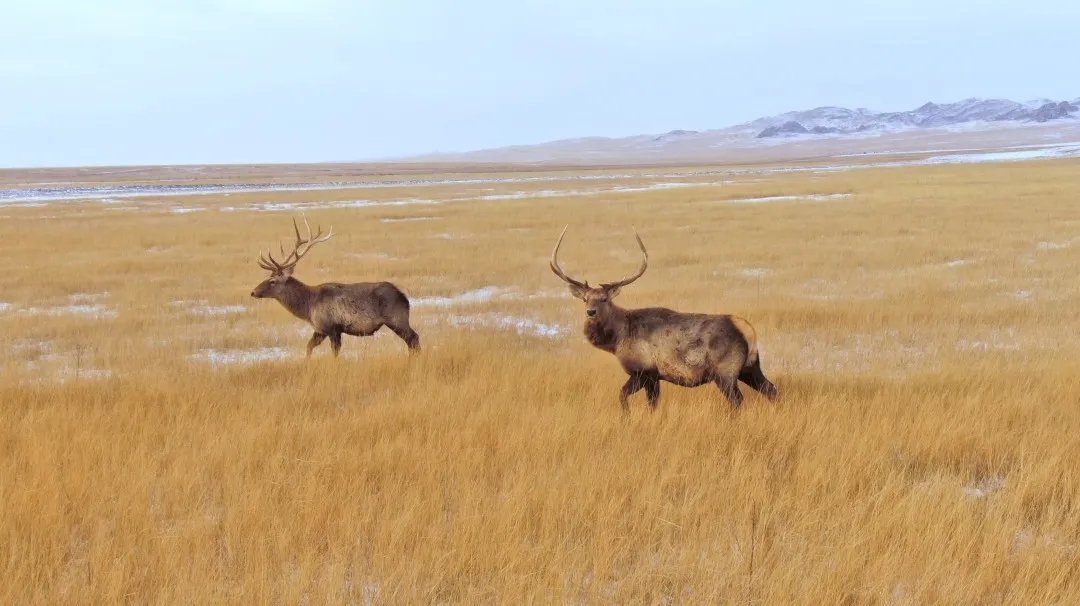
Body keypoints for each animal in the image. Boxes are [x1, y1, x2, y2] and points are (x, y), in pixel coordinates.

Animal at [250, 217, 419, 356]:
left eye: (272, 281)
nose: (253, 292)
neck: (308, 307)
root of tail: (405, 298)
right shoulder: (320, 329)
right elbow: (308, 347)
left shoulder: (332, 328)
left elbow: (334, 353)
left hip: (397, 318)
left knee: (413, 338)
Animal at [548, 226, 777, 410]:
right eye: (585, 299)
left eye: (604, 299)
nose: (591, 312)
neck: (617, 340)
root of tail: (748, 330)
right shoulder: (655, 376)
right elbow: (651, 404)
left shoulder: (644, 371)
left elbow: (625, 397)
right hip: (750, 366)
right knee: (772, 389)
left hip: (725, 371)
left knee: (737, 400)